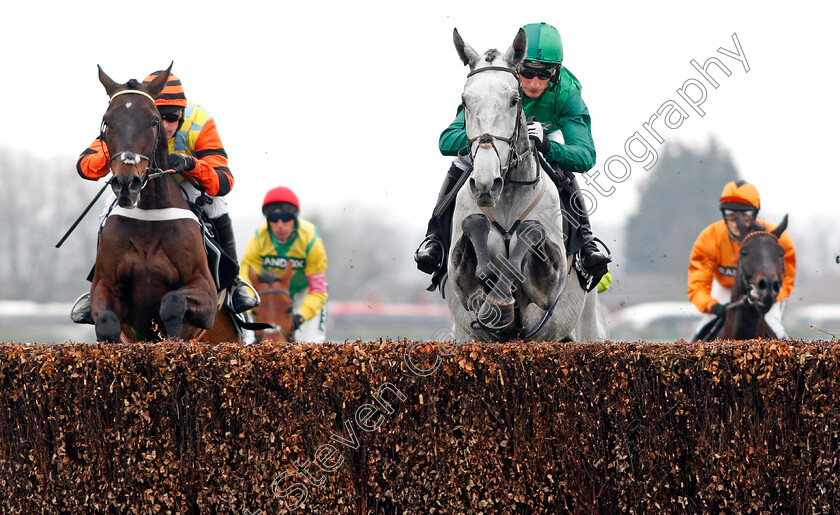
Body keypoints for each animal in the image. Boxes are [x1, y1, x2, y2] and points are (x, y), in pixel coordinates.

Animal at [90, 64, 238, 344]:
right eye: (107, 120)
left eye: (154, 120)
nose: (127, 183)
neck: (149, 216)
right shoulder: (105, 286)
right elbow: (106, 322)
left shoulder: (206, 294)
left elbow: (172, 303)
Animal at [442, 28, 608, 342]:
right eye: (465, 100)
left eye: (513, 99)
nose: (486, 184)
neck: (506, 197)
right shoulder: (461, 282)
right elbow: (474, 227)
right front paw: (495, 299)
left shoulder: (548, 288)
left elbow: (532, 229)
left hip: (587, 328)